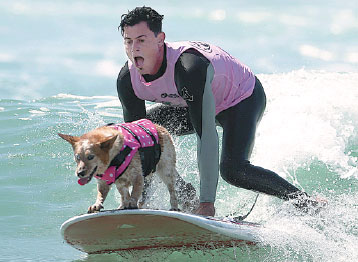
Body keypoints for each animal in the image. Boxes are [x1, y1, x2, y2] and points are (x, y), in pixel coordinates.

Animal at [58, 118, 187, 213]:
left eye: (90, 157)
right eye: (77, 157)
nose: (79, 173)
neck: (114, 158)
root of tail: (160, 126)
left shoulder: (137, 176)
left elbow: (135, 192)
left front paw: (132, 203)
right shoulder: (112, 182)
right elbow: (105, 194)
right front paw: (97, 205)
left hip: (166, 170)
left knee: (172, 190)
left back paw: (174, 207)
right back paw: (121, 205)